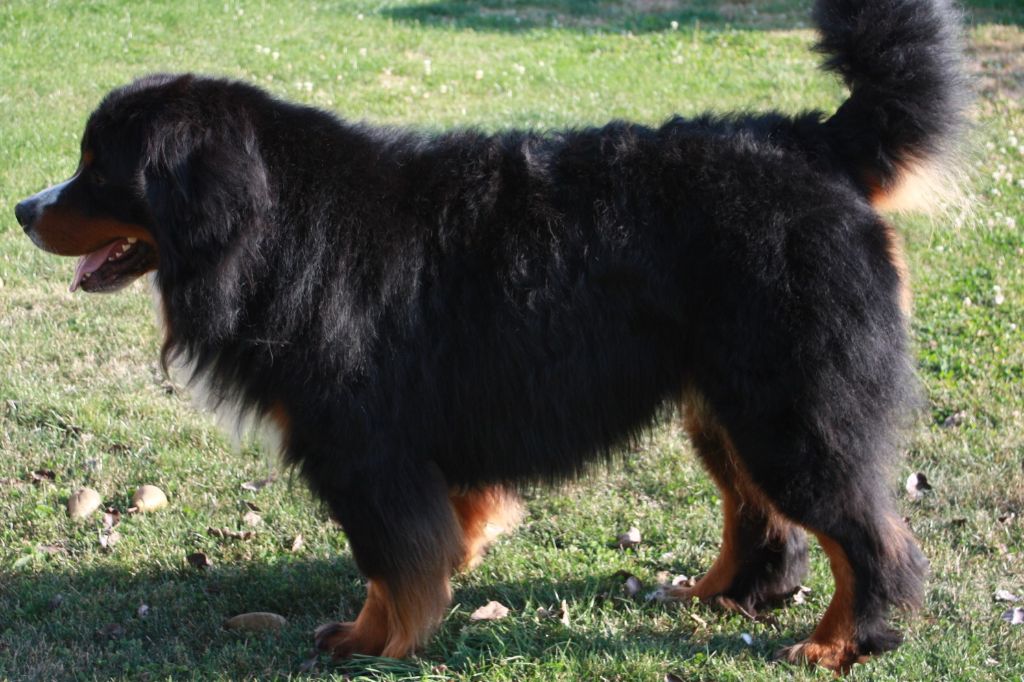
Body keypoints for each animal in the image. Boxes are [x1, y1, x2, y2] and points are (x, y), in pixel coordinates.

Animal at [15, 0, 966, 672]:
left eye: (100, 167)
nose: (24, 209)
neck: (273, 222)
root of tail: (816, 142)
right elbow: (426, 539)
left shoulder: (364, 452)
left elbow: (390, 563)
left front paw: (374, 642)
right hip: (728, 400)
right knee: (759, 513)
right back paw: (722, 595)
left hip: (789, 406)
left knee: (869, 535)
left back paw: (842, 641)